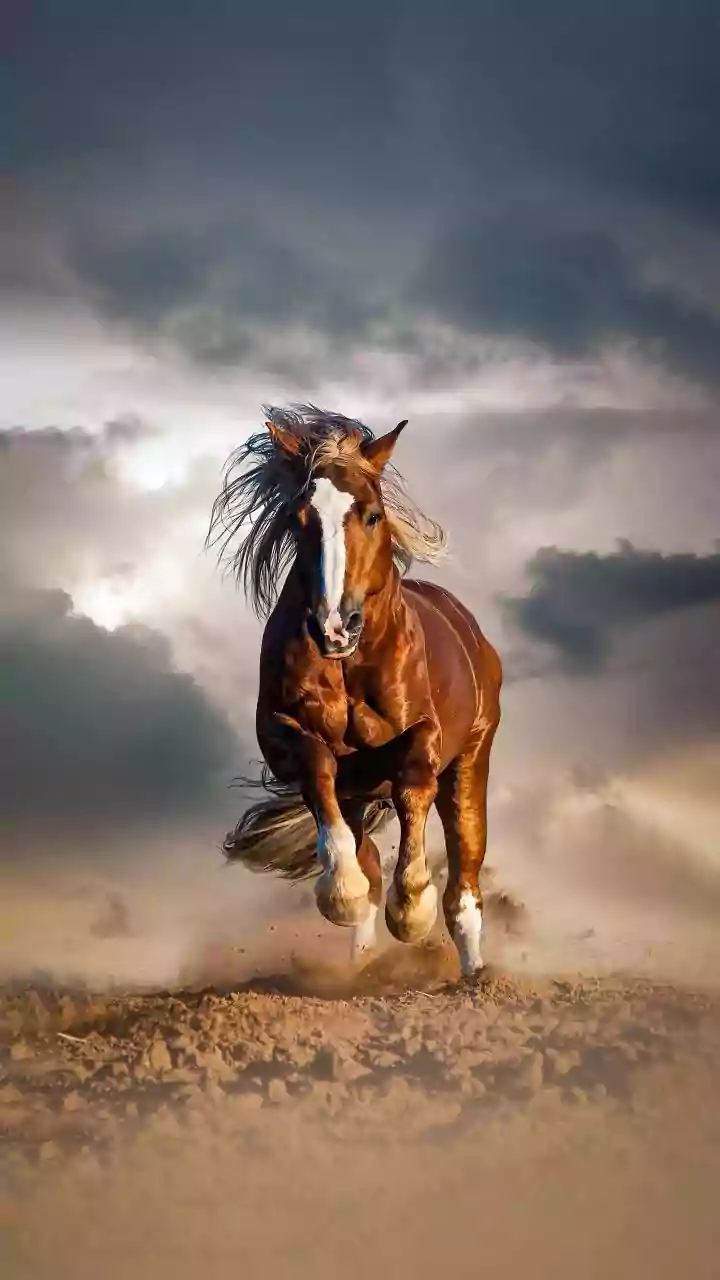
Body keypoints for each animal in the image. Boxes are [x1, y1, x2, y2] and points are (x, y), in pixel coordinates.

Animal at [208, 405, 502, 978]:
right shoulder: (284, 735)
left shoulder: (425, 736)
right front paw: (341, 893)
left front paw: (410, 910)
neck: (350, 666)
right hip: (361, 793)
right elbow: (318, 771)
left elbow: (414, 787)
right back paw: (361, 961)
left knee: (465, 877)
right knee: (366, 852)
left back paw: (473, 974)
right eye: (299, 519)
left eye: (371, 515)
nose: (334, 627)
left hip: (471, 759)